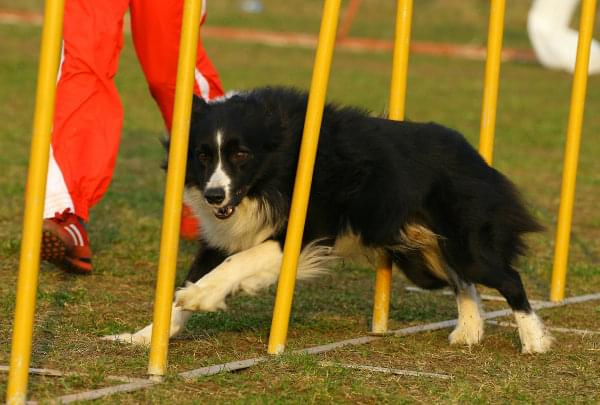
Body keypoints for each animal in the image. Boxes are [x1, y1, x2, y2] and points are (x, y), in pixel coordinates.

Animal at [105, 87, 556, 352]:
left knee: (506, 278)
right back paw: (468, 331)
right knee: (463, 280)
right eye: (202, 155)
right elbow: (200, 271)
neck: (275, 166)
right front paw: (143, 336)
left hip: (466, 236)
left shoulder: (303, 227)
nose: (215, 195)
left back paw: (534, 341)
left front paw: (201, 297)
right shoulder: (223, 231)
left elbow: (239, 261)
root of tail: (472, 152)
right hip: (421, 254)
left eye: (240, 155)